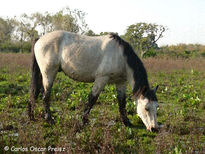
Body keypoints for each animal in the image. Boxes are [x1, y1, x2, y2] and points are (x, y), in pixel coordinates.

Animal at [28, 30, 159, 132]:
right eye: (146, 108)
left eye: (157, 106)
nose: (154, 129)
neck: (121, 56)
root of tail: (40, 39)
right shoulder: (102, 78)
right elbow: (92, 99)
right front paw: (84, 121)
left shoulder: (120, 82)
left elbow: (122, 102)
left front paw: (127, 122)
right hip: (49, 73)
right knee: (45, 96)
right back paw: (50, 120)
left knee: (35, 92)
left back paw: (31, 116)